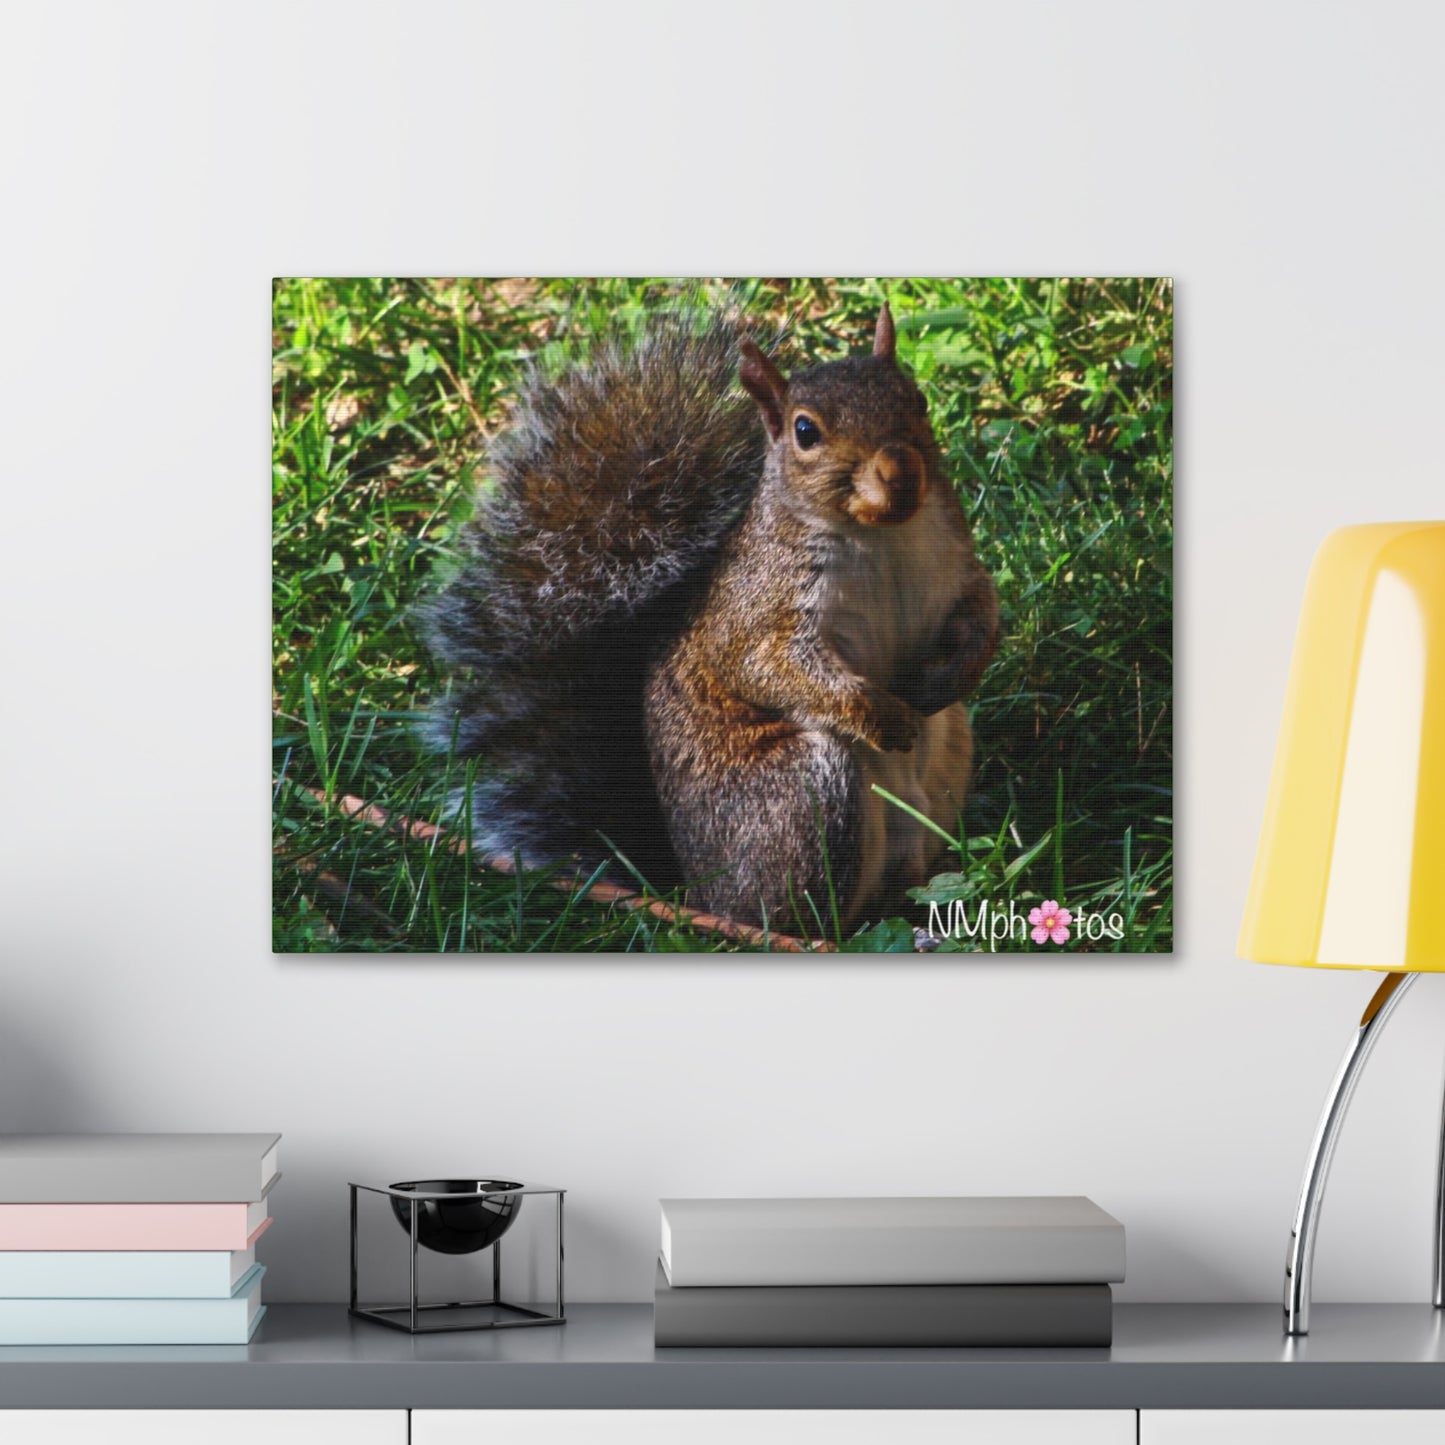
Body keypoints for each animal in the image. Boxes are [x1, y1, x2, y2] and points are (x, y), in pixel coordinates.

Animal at [423, 302, 999, 934]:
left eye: (917, 399)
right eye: (805, 431)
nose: (900, 471)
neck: (881, 535)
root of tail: (697, 892)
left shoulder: (955, 566)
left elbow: (982, 613)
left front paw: (951, 676)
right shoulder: (757, 610)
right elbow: (767, 668)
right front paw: (882, 716)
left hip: (950, 752)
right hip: (802, 792)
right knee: (798, 914)